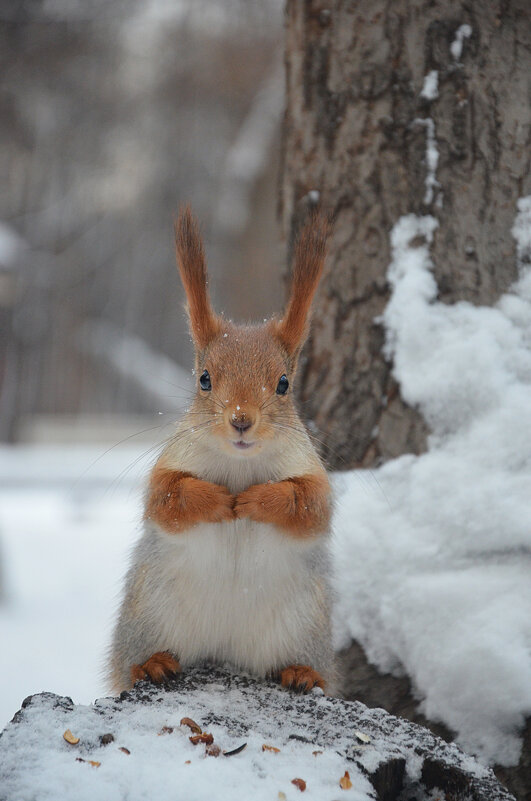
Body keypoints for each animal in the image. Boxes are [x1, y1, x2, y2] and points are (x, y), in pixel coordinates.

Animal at [108, 206, 336, 692]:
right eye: (204, 379)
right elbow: (166, 498)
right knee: (133, 662)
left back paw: (301, 673)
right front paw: (217, 500)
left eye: (284, 384)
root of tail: (228, 654)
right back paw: (151, 664)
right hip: (146, 615)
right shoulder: (169, 465)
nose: (241, 419)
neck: (238, 464)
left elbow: (310, 506)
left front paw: (254, 501)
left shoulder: (312, 472)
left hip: (306, 624)